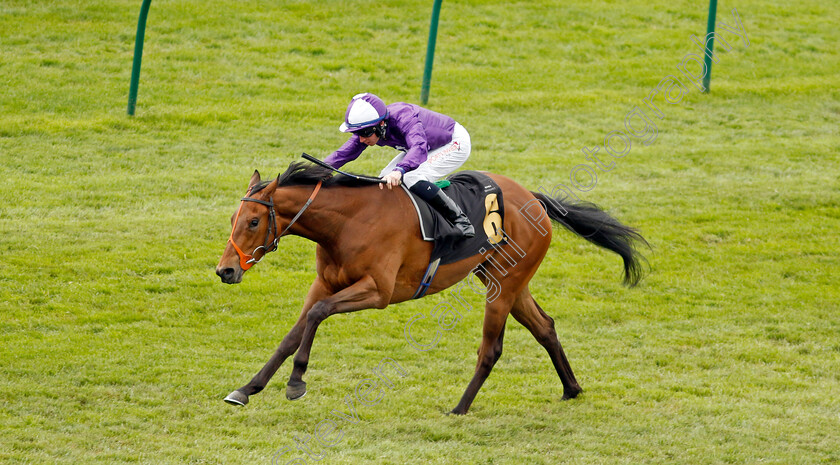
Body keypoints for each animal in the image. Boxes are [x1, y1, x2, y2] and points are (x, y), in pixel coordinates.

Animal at [217, 162, 648, 414]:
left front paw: (296, 383)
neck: (347, 222)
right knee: (545, 327)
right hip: (505, 279)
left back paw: (459, 408)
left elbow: (318, 317)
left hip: (503, 286)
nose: (225, 271)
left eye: (254, 221)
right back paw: (571, 389)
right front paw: (248, 388)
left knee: (492, 348)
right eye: (235, 217)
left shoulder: (378, 292)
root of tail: (535, 199)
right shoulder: (324, 284)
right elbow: (293, 334)